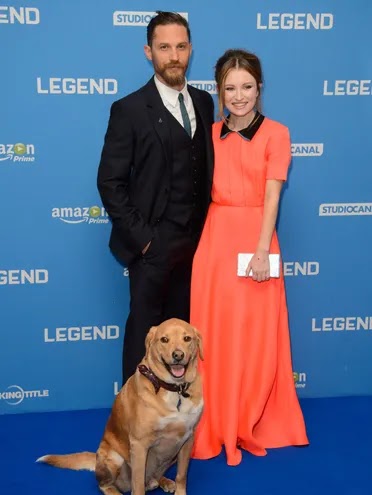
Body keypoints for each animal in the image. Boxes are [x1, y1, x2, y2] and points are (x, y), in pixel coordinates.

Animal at [36, 318, 205, 495]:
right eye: (164, 339)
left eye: (187, 338)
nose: (178, 355)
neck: (174, 389)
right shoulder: (139, 444)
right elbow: (138, 485)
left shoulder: (188, 438)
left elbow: (182, 475)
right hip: (114, 458)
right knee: (106, 485)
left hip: (171, 456)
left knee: (156, 477)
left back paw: (163, 481)